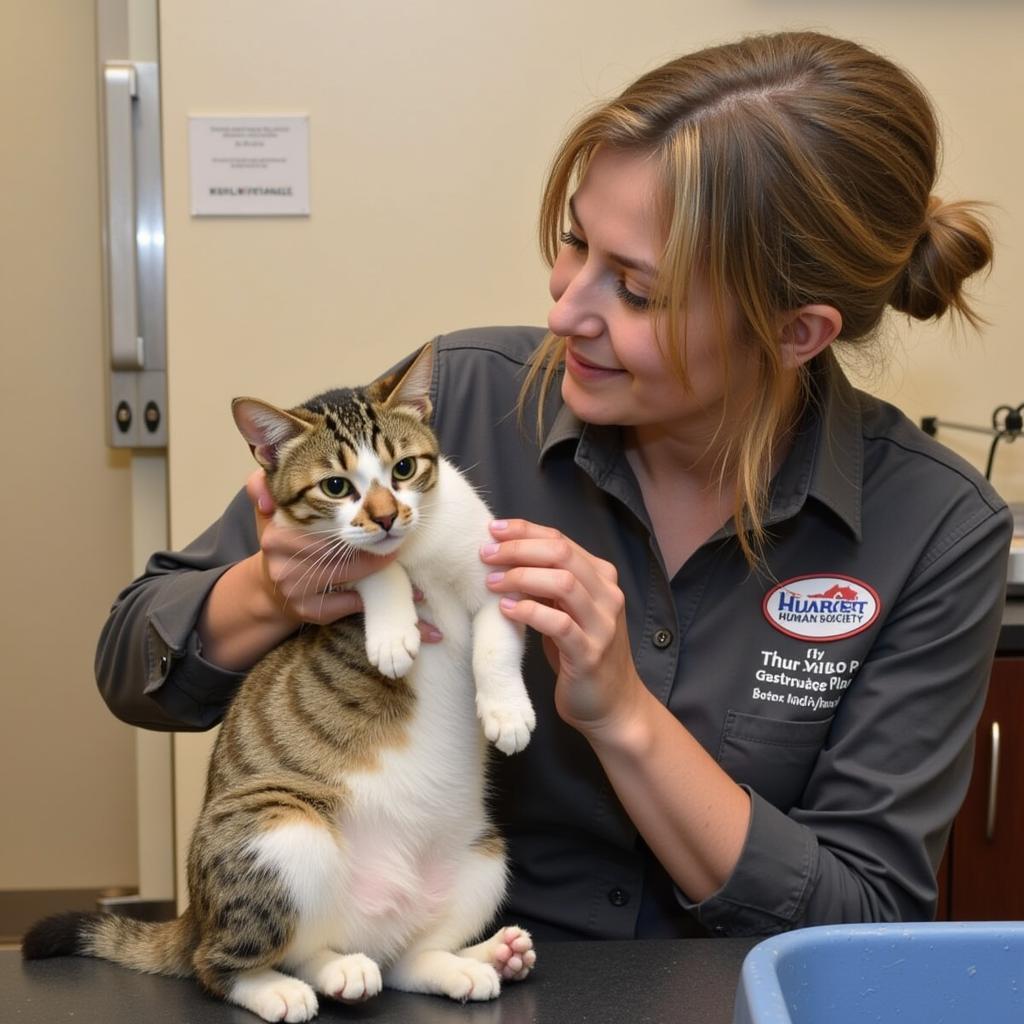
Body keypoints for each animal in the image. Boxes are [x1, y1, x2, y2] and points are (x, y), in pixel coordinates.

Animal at [22, 346, 536, 1024]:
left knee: (399, 959)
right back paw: (293, 985)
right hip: (282, 829)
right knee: (232, 961)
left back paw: (469, 960)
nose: (386, 516)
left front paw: (506, 711)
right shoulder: (315, 560)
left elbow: (497, 636)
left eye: (403, 468)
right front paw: (392, 626)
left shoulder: (494, 568)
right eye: (336, 486)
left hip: (485, 855)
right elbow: (365, 564)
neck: (419, 549)